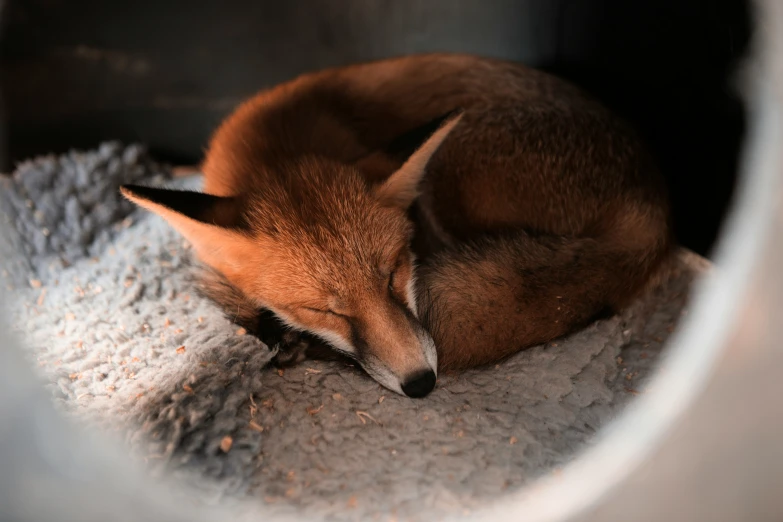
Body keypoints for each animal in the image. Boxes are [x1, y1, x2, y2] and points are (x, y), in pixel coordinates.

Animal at [122, 52, 672, 396]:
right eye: (325, 311)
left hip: (455, 183)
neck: (277, 145)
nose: (422, 383)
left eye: (393, 276)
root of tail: (655, 207)